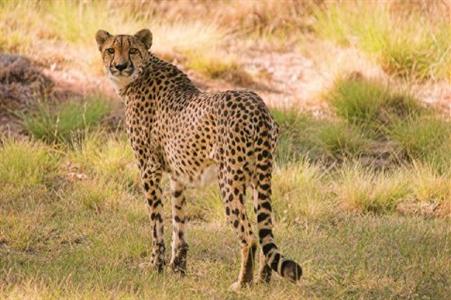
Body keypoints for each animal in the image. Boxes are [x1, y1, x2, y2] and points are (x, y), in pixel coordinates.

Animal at [95, 29, 302, 290]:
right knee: (265, 229)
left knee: (250, 236)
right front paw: (177, 267)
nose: (120, 66)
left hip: (229, 181)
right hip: (259, 178)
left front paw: (155, 265)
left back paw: (242, 284)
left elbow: (156, 223)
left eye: (132, 50)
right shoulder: (176, 176)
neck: (138, 76)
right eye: (111, 50)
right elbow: (178, 222)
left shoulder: (148, 169)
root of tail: (258, 105)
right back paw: (263, 281)